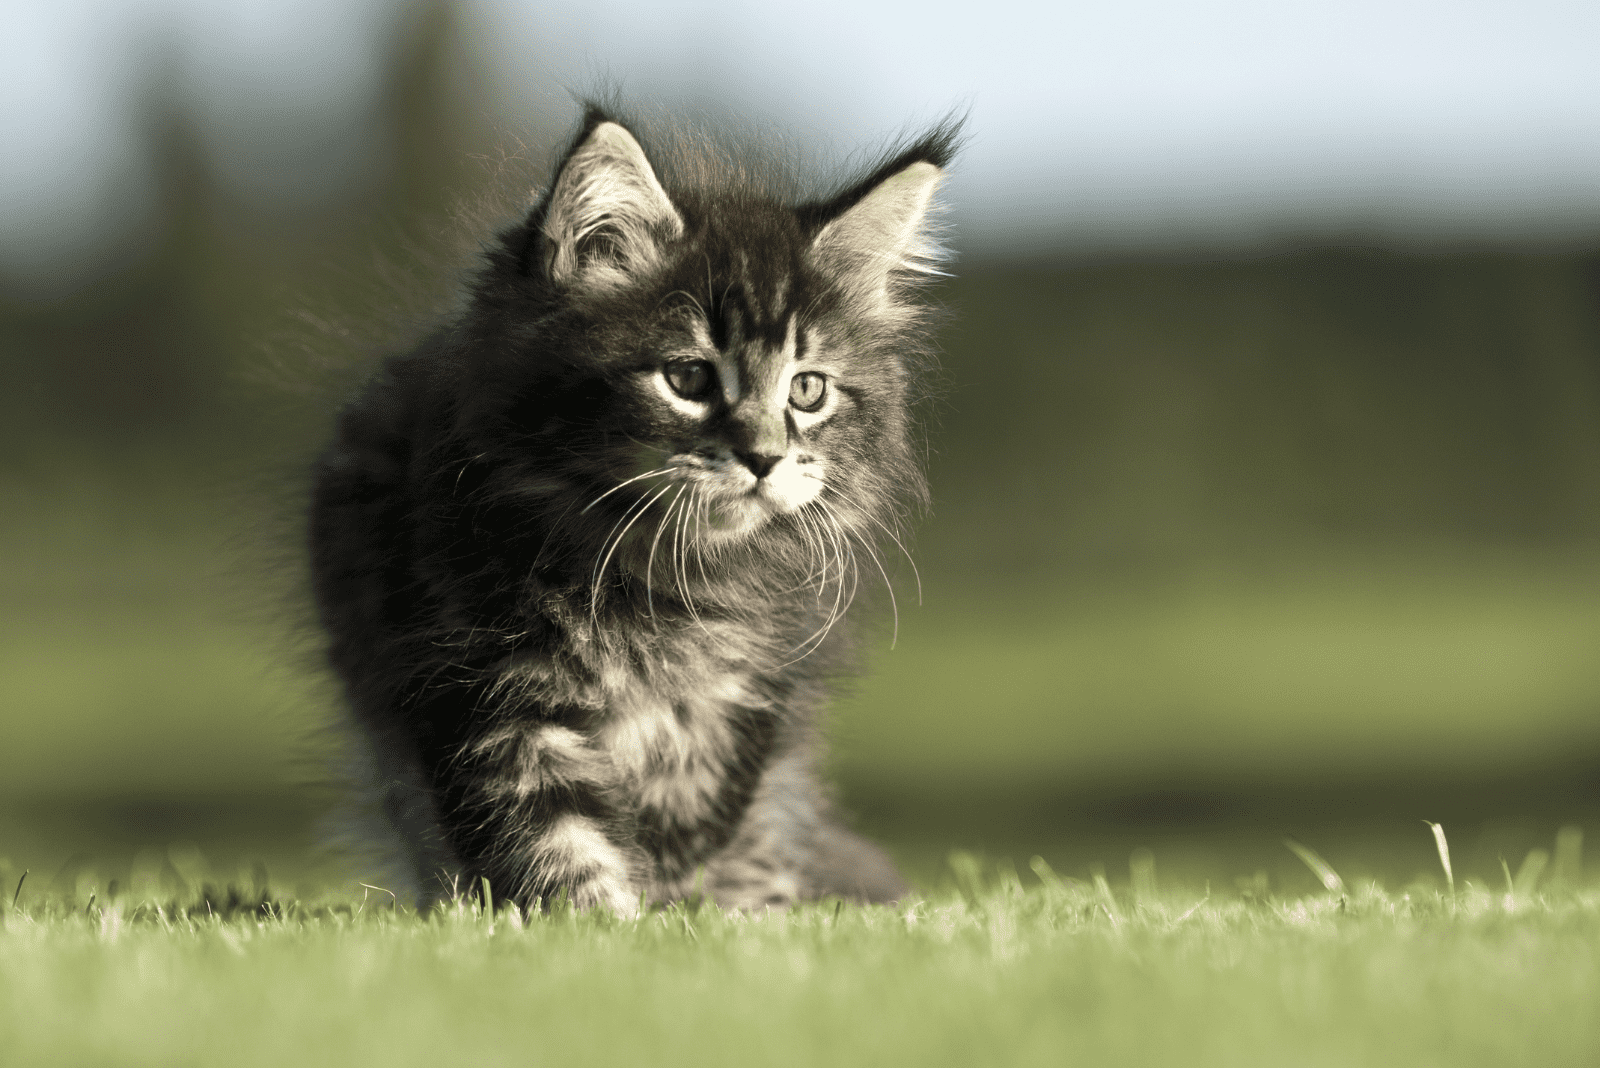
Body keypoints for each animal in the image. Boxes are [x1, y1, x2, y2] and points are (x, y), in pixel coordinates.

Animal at [310, 106, 953, 908]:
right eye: (688, 378)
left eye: (808, 390)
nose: (765, 457)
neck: (652, 578)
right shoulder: (486, 692)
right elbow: (557, 844)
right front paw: (600, 926)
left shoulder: (737, 708)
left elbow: (696, 839)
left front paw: (690, 921)